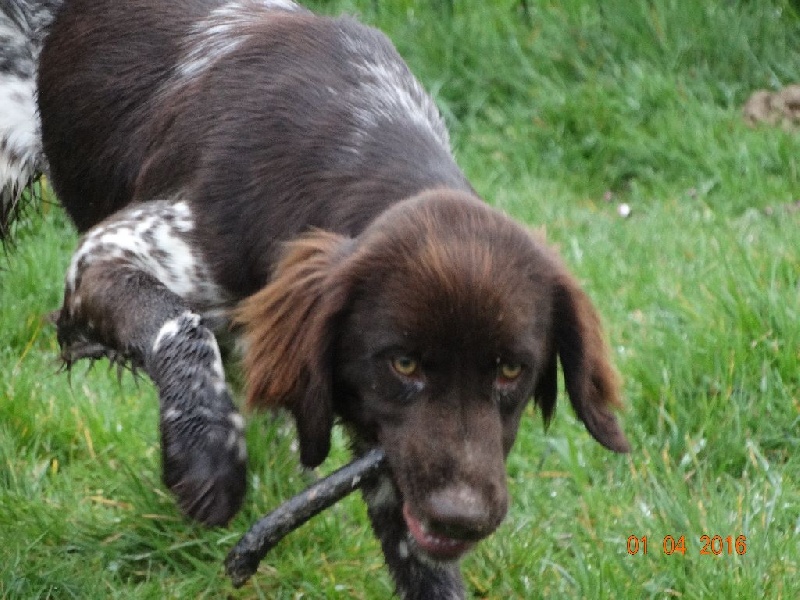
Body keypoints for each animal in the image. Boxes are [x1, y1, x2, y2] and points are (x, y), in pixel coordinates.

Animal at [3, 0, 628, 596]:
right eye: (403, 364)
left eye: (510, 370)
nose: (460, 519)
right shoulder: (106, 254)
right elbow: (181, 326)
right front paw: (207, 456)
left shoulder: (390, 456)